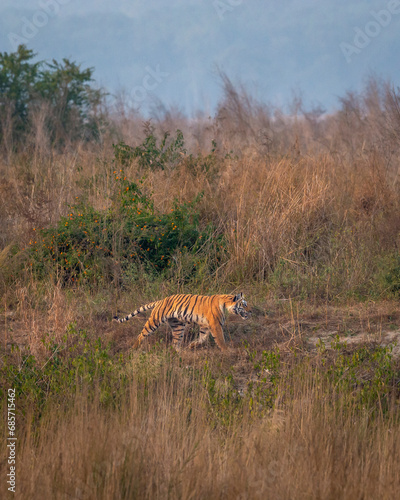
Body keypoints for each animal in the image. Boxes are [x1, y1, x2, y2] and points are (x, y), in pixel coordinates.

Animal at [113, 292, 250, 352]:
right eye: (244, 305)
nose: (251, 311)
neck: (226, 304)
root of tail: (161, 300)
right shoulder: (215, 325)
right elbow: (220, 339)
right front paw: (227, 350)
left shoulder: (205, 325)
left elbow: (202, 338)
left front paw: (192, 345)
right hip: (154, 321)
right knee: (142, 334)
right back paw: (134, 348)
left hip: (178, 325)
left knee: (175, 342)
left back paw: (180, 353)